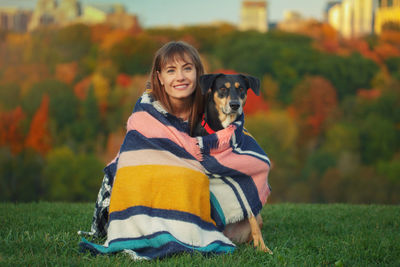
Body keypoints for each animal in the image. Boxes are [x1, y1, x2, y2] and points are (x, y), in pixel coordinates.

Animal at [193, 74, 272, 255]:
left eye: (241, 88)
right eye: (223, 88)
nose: (235, 104)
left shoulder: (246, 181)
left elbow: (252, 215)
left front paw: (263, 248)